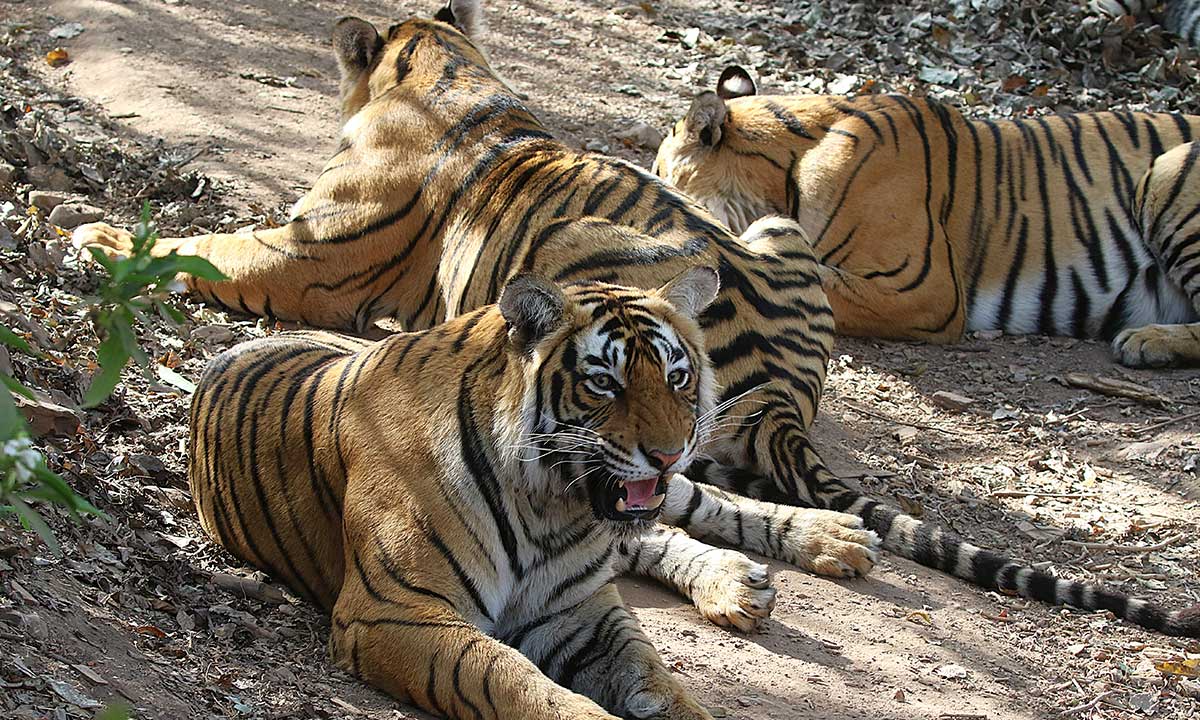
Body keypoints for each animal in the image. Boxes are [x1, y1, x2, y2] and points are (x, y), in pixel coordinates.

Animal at [190, 269, 786, 719]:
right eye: (604, 383)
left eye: (676, 377)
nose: (668, 452)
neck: (551, 508)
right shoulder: (395, 612)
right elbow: (511, 680)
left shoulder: (579, 609)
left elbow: (655, 676)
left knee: (686, 506)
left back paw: (776, 560)